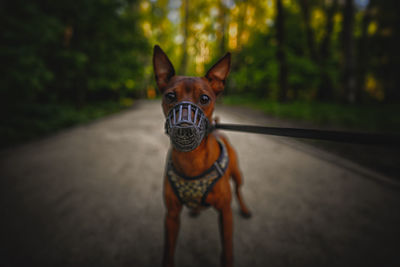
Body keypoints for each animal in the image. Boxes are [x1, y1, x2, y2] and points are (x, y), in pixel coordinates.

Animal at [153, 45, 250, 266]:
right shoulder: (171, 216)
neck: (192, 160)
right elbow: (168, 251)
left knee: (239, 190)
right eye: (170, 96)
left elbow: (227, 249)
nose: (184, 128)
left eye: (205, 98)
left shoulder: (225, 213)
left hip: (238, 174)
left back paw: (245, 208)